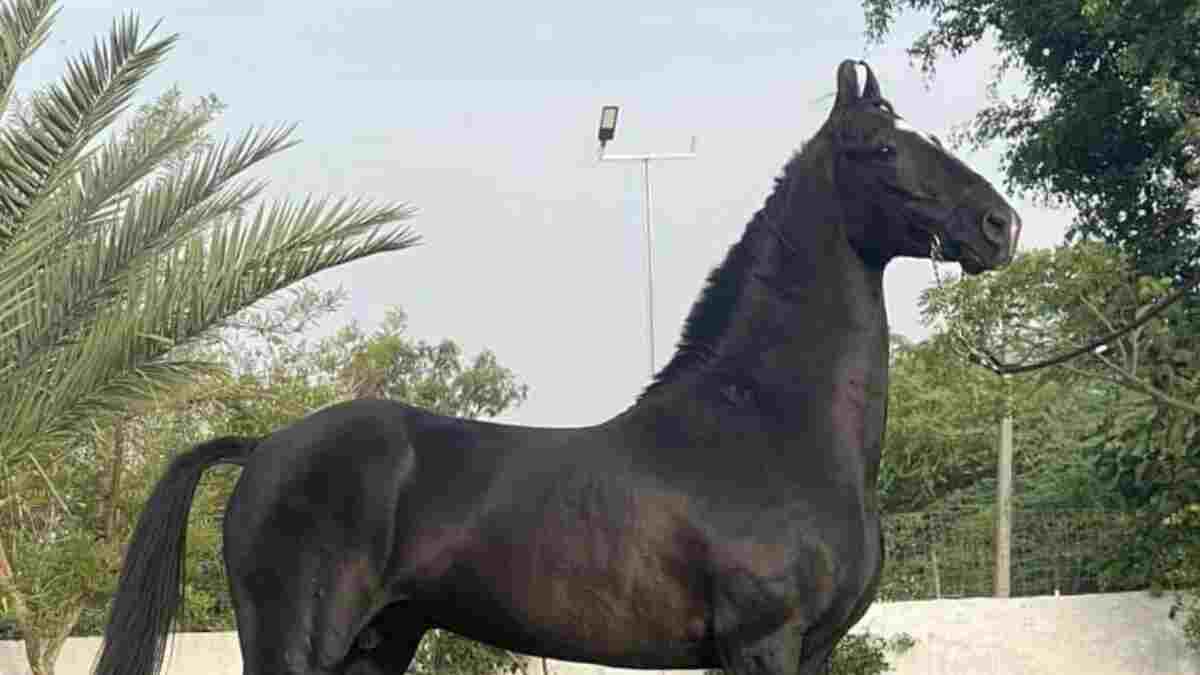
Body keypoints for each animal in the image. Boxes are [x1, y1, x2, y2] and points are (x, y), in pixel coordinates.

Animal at [95, 60, 1021, 675]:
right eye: (879, 149)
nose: (999, 224)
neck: (765, 427)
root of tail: (264, 448)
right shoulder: (764, 643)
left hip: (377, 643)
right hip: (298, 646)